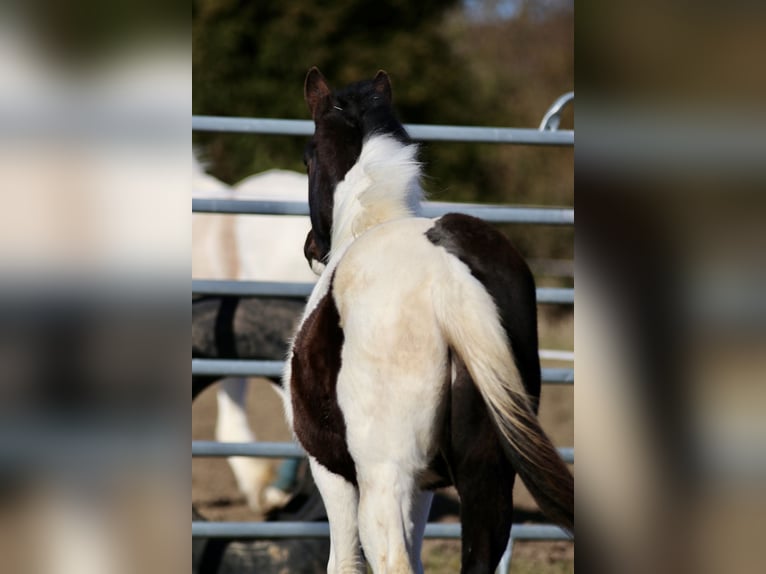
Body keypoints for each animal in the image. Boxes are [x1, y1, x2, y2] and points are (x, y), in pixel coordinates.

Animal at [282, 68, 574, 573]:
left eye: (308, 154)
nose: (311, 249)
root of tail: (448, 273)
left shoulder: (332, 472)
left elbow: (344, 562)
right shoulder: (424, 487)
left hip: (385, 477)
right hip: (487, 474)